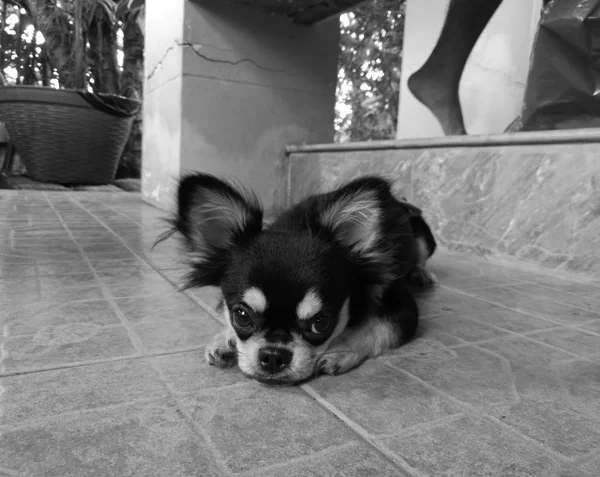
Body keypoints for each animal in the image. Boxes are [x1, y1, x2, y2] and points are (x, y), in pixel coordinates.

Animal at [163, 173, 436, 384]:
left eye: (321, 323)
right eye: (241, 316)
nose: (274, 356)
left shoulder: (401, 308)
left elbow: (377, 326)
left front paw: (340, 349)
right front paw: (224, 338)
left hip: (424, 237)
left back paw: (421, 273)